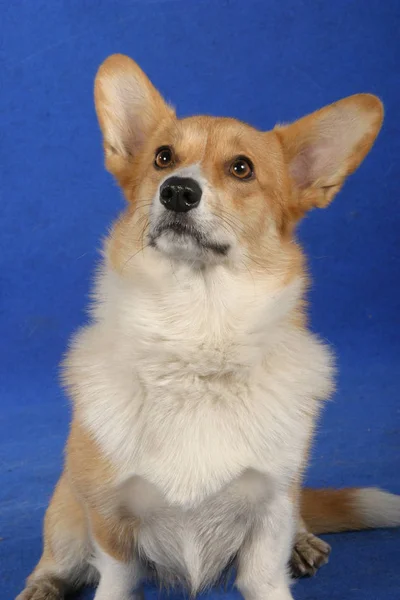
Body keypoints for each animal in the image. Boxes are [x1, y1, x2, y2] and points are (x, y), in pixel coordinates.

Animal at [17, 55, 400, 600]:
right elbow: (116, 578)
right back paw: (43, 585)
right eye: (162, 157)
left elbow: (266, 574)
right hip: (68, 512)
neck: (196, 336)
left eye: (242, 168)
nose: (178, 190)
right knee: (57, 556)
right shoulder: (110, 517)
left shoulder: (271, 508)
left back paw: (304, 542)